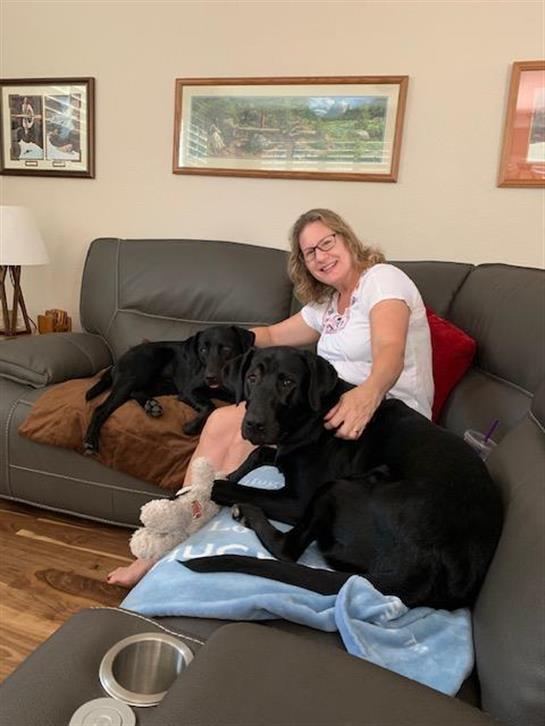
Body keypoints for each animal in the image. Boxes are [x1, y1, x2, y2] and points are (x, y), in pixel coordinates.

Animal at [83, 325, 255, 455]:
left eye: (226, 348)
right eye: (202, 350)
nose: (210, 377)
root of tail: (120, 358)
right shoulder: (188, 391)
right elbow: (210, 406)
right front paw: (191, 427)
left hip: (165, 385)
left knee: (136, 392)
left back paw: (151, 406)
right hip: (135, 375)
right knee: (101, 409)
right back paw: (90, 441)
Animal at [184, 346, 503, 610]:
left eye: (287, 382)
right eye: (251, 377)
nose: (253, 424)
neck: (309, 418)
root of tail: (427, 570)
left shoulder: (298, 500)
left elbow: (223, 486)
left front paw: (210, 487)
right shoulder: (281, 453)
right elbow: (258, 453)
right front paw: (234, 470)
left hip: (336, 489)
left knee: (287, 548)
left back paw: (248, 513)